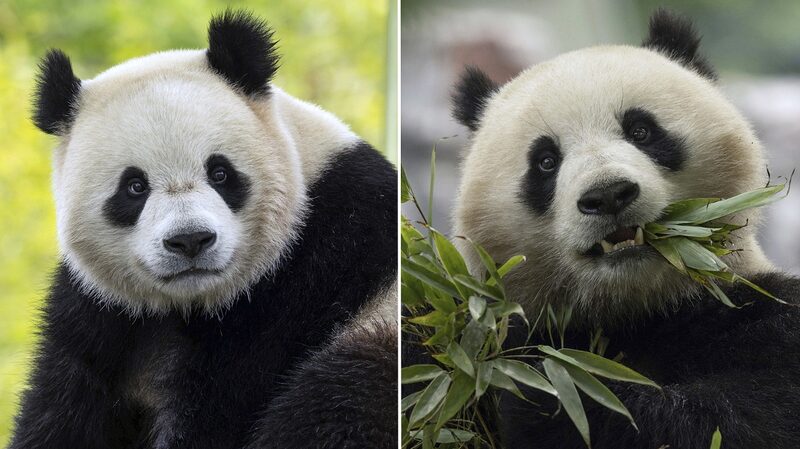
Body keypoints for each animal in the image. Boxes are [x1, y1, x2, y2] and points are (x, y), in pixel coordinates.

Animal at [10, 10, 396, 449]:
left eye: (220, 172)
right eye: (135, 186)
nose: (190, 240)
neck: (190, 304)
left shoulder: (308, 277)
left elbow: (221, 409)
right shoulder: (100, 310)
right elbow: (62, 408)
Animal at [451, 9, 800, 449]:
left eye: (641, 131)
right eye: (545, 162)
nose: (608, 195)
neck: (635, 308)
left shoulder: (759, 318)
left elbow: (738, 420)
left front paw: (550, 391)